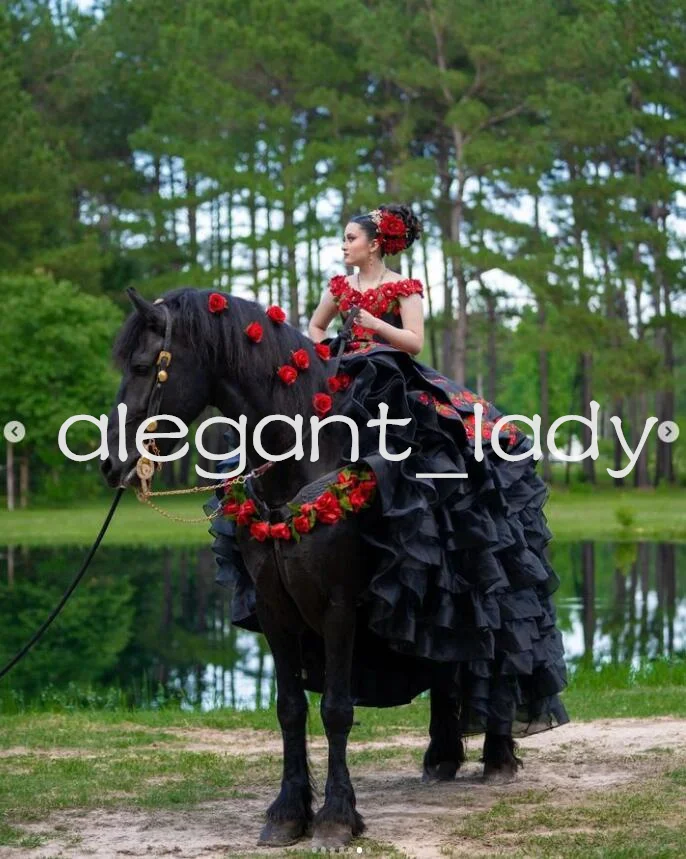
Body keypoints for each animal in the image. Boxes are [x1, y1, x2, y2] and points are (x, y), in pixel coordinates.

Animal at [101, 288, 520, 848]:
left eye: (143, 365)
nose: (110, 464)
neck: (306, 459)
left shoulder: (339, 607)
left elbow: (336, 710)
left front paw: (337, 817)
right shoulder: (274, 606)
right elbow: (290, 708)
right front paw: (287, 812)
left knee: (501, 657)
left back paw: (498, 755)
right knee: (445, 662)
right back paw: (442, 756)